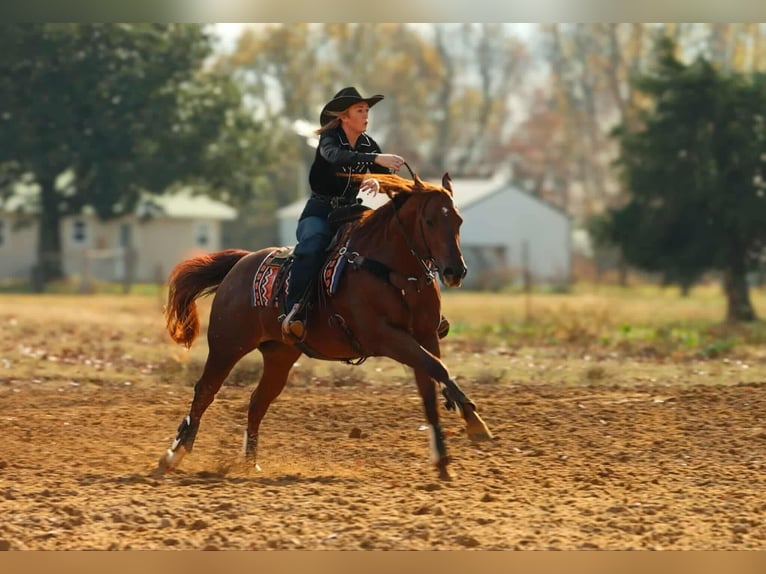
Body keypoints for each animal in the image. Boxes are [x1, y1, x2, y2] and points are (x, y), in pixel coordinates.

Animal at [155, 171, 493, 480]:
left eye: (459, 220)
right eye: (430, 221)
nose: (455, 271)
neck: (394, 273)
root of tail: (241, 263)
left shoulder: (424, 336)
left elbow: (431, 385)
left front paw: (444, 457)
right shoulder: (385, 337)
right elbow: (438, 369)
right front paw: (474, 422)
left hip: (279, 356)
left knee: (257, 402)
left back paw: (250, 463)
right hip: (227, 345)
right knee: (205, 392)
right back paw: (173, 455)